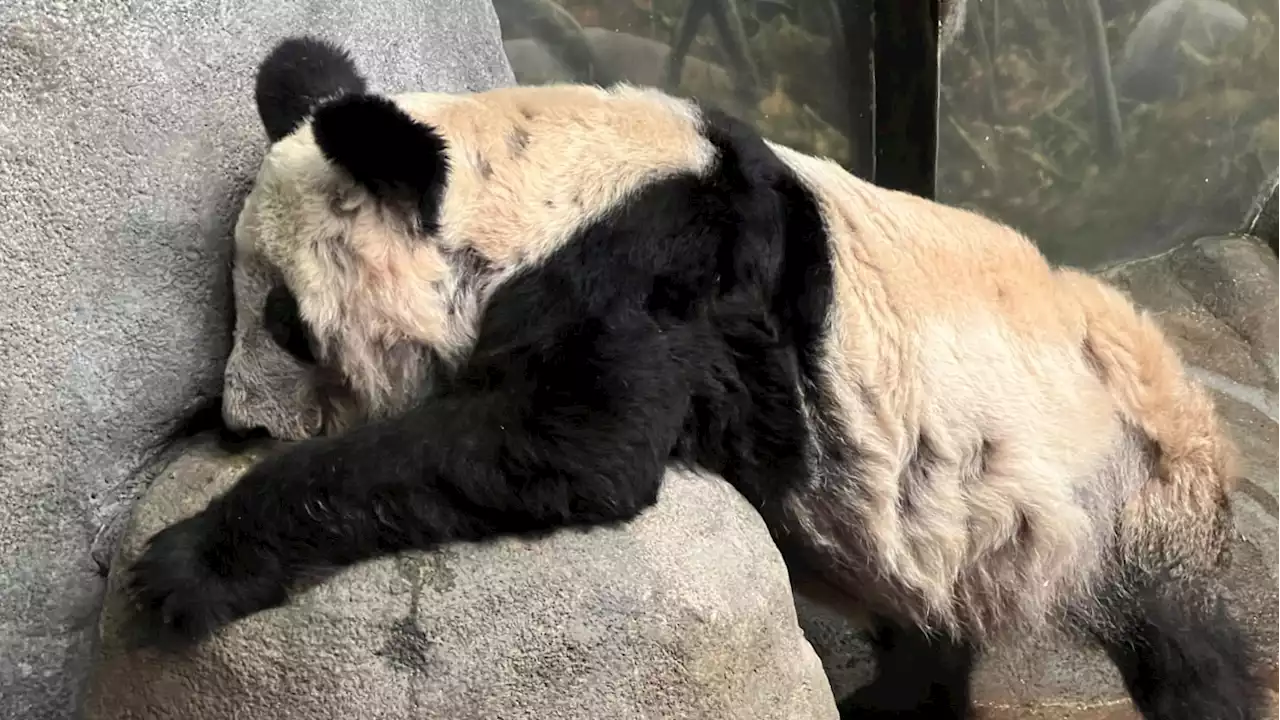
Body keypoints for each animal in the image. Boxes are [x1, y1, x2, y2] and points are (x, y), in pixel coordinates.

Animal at [124, 36, 1264, 717]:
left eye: (286, 321)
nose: (241, 421)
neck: (537, 178)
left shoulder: (663, 271)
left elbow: (571, 441)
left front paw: (181, 567)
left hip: (1126, 489)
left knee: (1187, 643)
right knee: (930, 614)